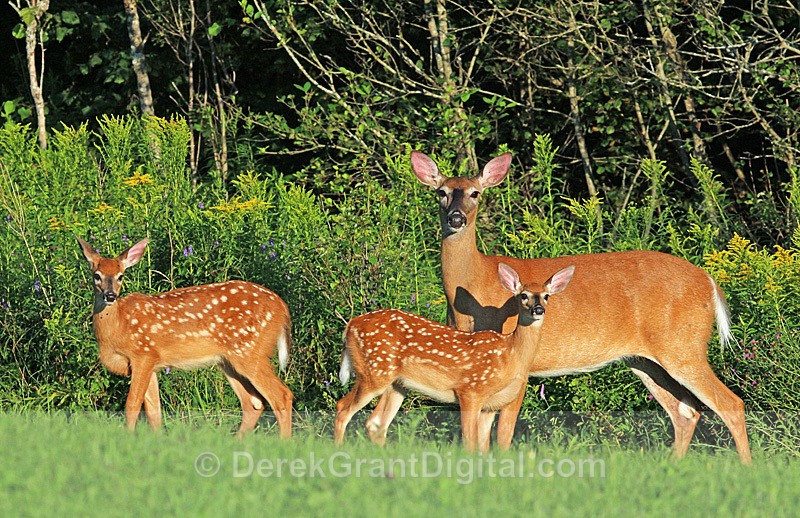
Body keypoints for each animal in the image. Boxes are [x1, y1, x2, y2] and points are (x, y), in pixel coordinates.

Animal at [78, 236, 293, 438]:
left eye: (121, 276)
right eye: (97, 276)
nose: (110, 296)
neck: (118, 328)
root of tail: (282, 308)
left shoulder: (144, 354)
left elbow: (132, 404)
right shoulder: (152, 365)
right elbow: (154, 411)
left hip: (251, 351)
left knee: (281, 396)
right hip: (228, 361)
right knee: (253, 402)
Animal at [335, 263, 574, 451]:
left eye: (546, 296)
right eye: (523, 295)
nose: (538, 309)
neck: (511, 354)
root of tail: (349, 327)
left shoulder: (491, 405)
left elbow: (484, 447)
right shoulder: (470, 390)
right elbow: (469, 442)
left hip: (396, 384)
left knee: (375, 423)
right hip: (374, 371)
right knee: (342, 408)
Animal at [365, 150, 751, 464]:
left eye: (476, 193)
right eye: (441, 192)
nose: (456, 218)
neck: (476, 283)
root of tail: (709, 282)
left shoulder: (518, 366)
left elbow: (502, 433)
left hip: (683, 346)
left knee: (730, 403)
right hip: (644, 360)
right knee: (685, 412)